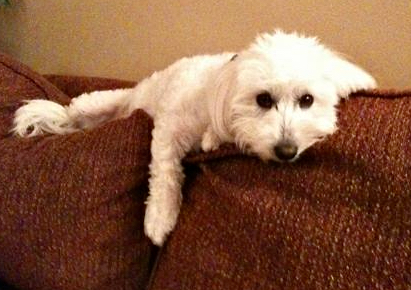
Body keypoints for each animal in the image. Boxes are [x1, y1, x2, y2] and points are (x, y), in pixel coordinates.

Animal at [11, 31, 378, 245]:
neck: (215, 89)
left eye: (307, 100)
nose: (287, 150)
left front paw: (212, 140)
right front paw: (159, 217)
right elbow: (165, 173)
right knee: (73, 114)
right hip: (93, 105)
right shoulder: (167, 129)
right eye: (263, 99)